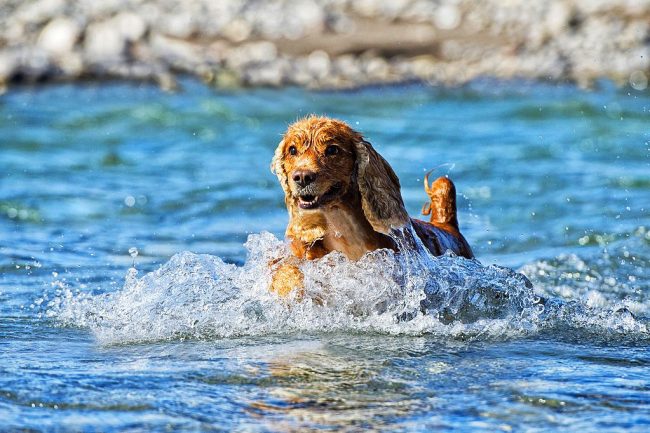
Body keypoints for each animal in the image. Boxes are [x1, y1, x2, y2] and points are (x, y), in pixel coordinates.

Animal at [268, 115, 470, 296]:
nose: (302, 177)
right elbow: (287, 268)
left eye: (332, 149)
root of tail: (447, 225)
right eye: (292, 150)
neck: (341, 228)